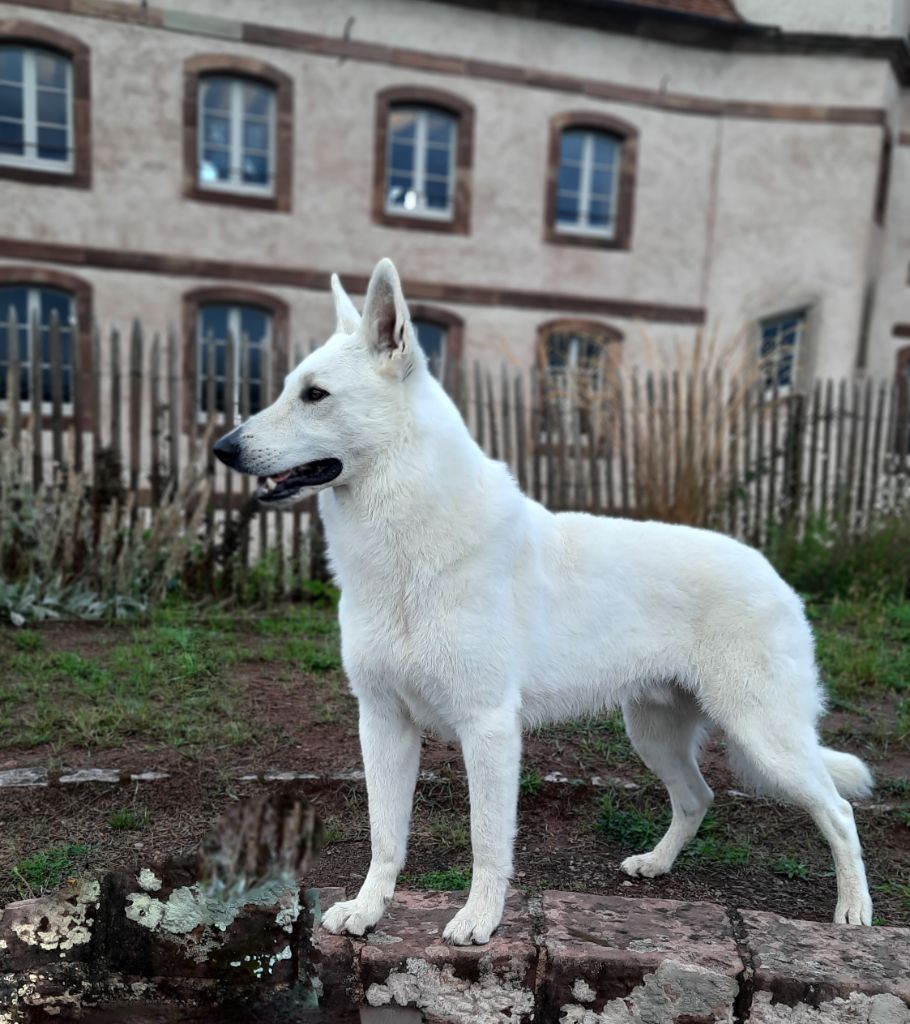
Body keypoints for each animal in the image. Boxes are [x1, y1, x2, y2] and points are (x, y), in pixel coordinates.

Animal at [214, 256, 872, 942]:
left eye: (314, 395)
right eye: (286, 389)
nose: (223, 448)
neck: (408, 545)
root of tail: (775, 575)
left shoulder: (488, 728)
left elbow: (486, 841)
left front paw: (478, 921)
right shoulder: (382, 722)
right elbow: (386, 836)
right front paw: (369, 910)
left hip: (765, 738)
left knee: (838, 811)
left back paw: (854, 913)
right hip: (654, 732)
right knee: (699, 798)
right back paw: (656, 864)